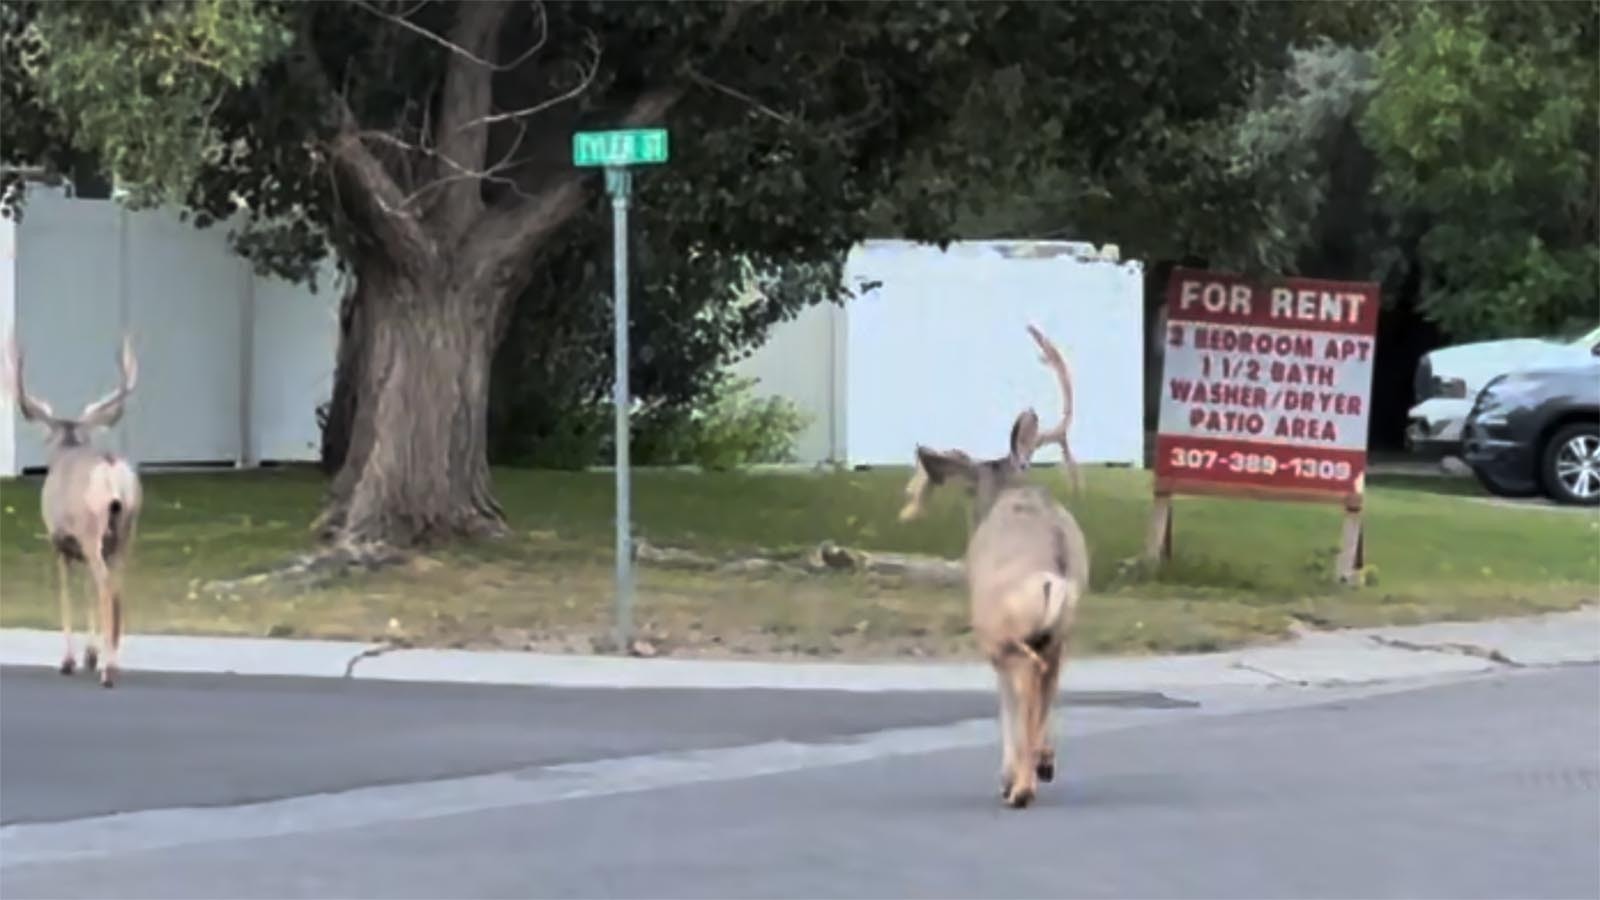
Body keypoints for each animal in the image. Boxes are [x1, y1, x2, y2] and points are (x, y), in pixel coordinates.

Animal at [4, 333, 143, 682]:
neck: (68, 447)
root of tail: (111, 470)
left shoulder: (60, 540)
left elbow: (66, 591)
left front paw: (69, 660)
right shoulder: (81, 544)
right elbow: (86, 589)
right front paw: (89, 655)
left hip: (92, 527)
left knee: (105, 584)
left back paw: (108, 671)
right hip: (125, 529)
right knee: (117, 586)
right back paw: (111, 661)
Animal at [902, 321, 1088, 807]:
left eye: (969, 487)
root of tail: (1053, 574)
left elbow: (1003, 700)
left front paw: (1008, 775)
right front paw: (1042, 762)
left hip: (997, 629)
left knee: (1024, 678)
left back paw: (1019, 786)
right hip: (1059, 630)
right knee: (1049, 676)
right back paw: (1041, 765)